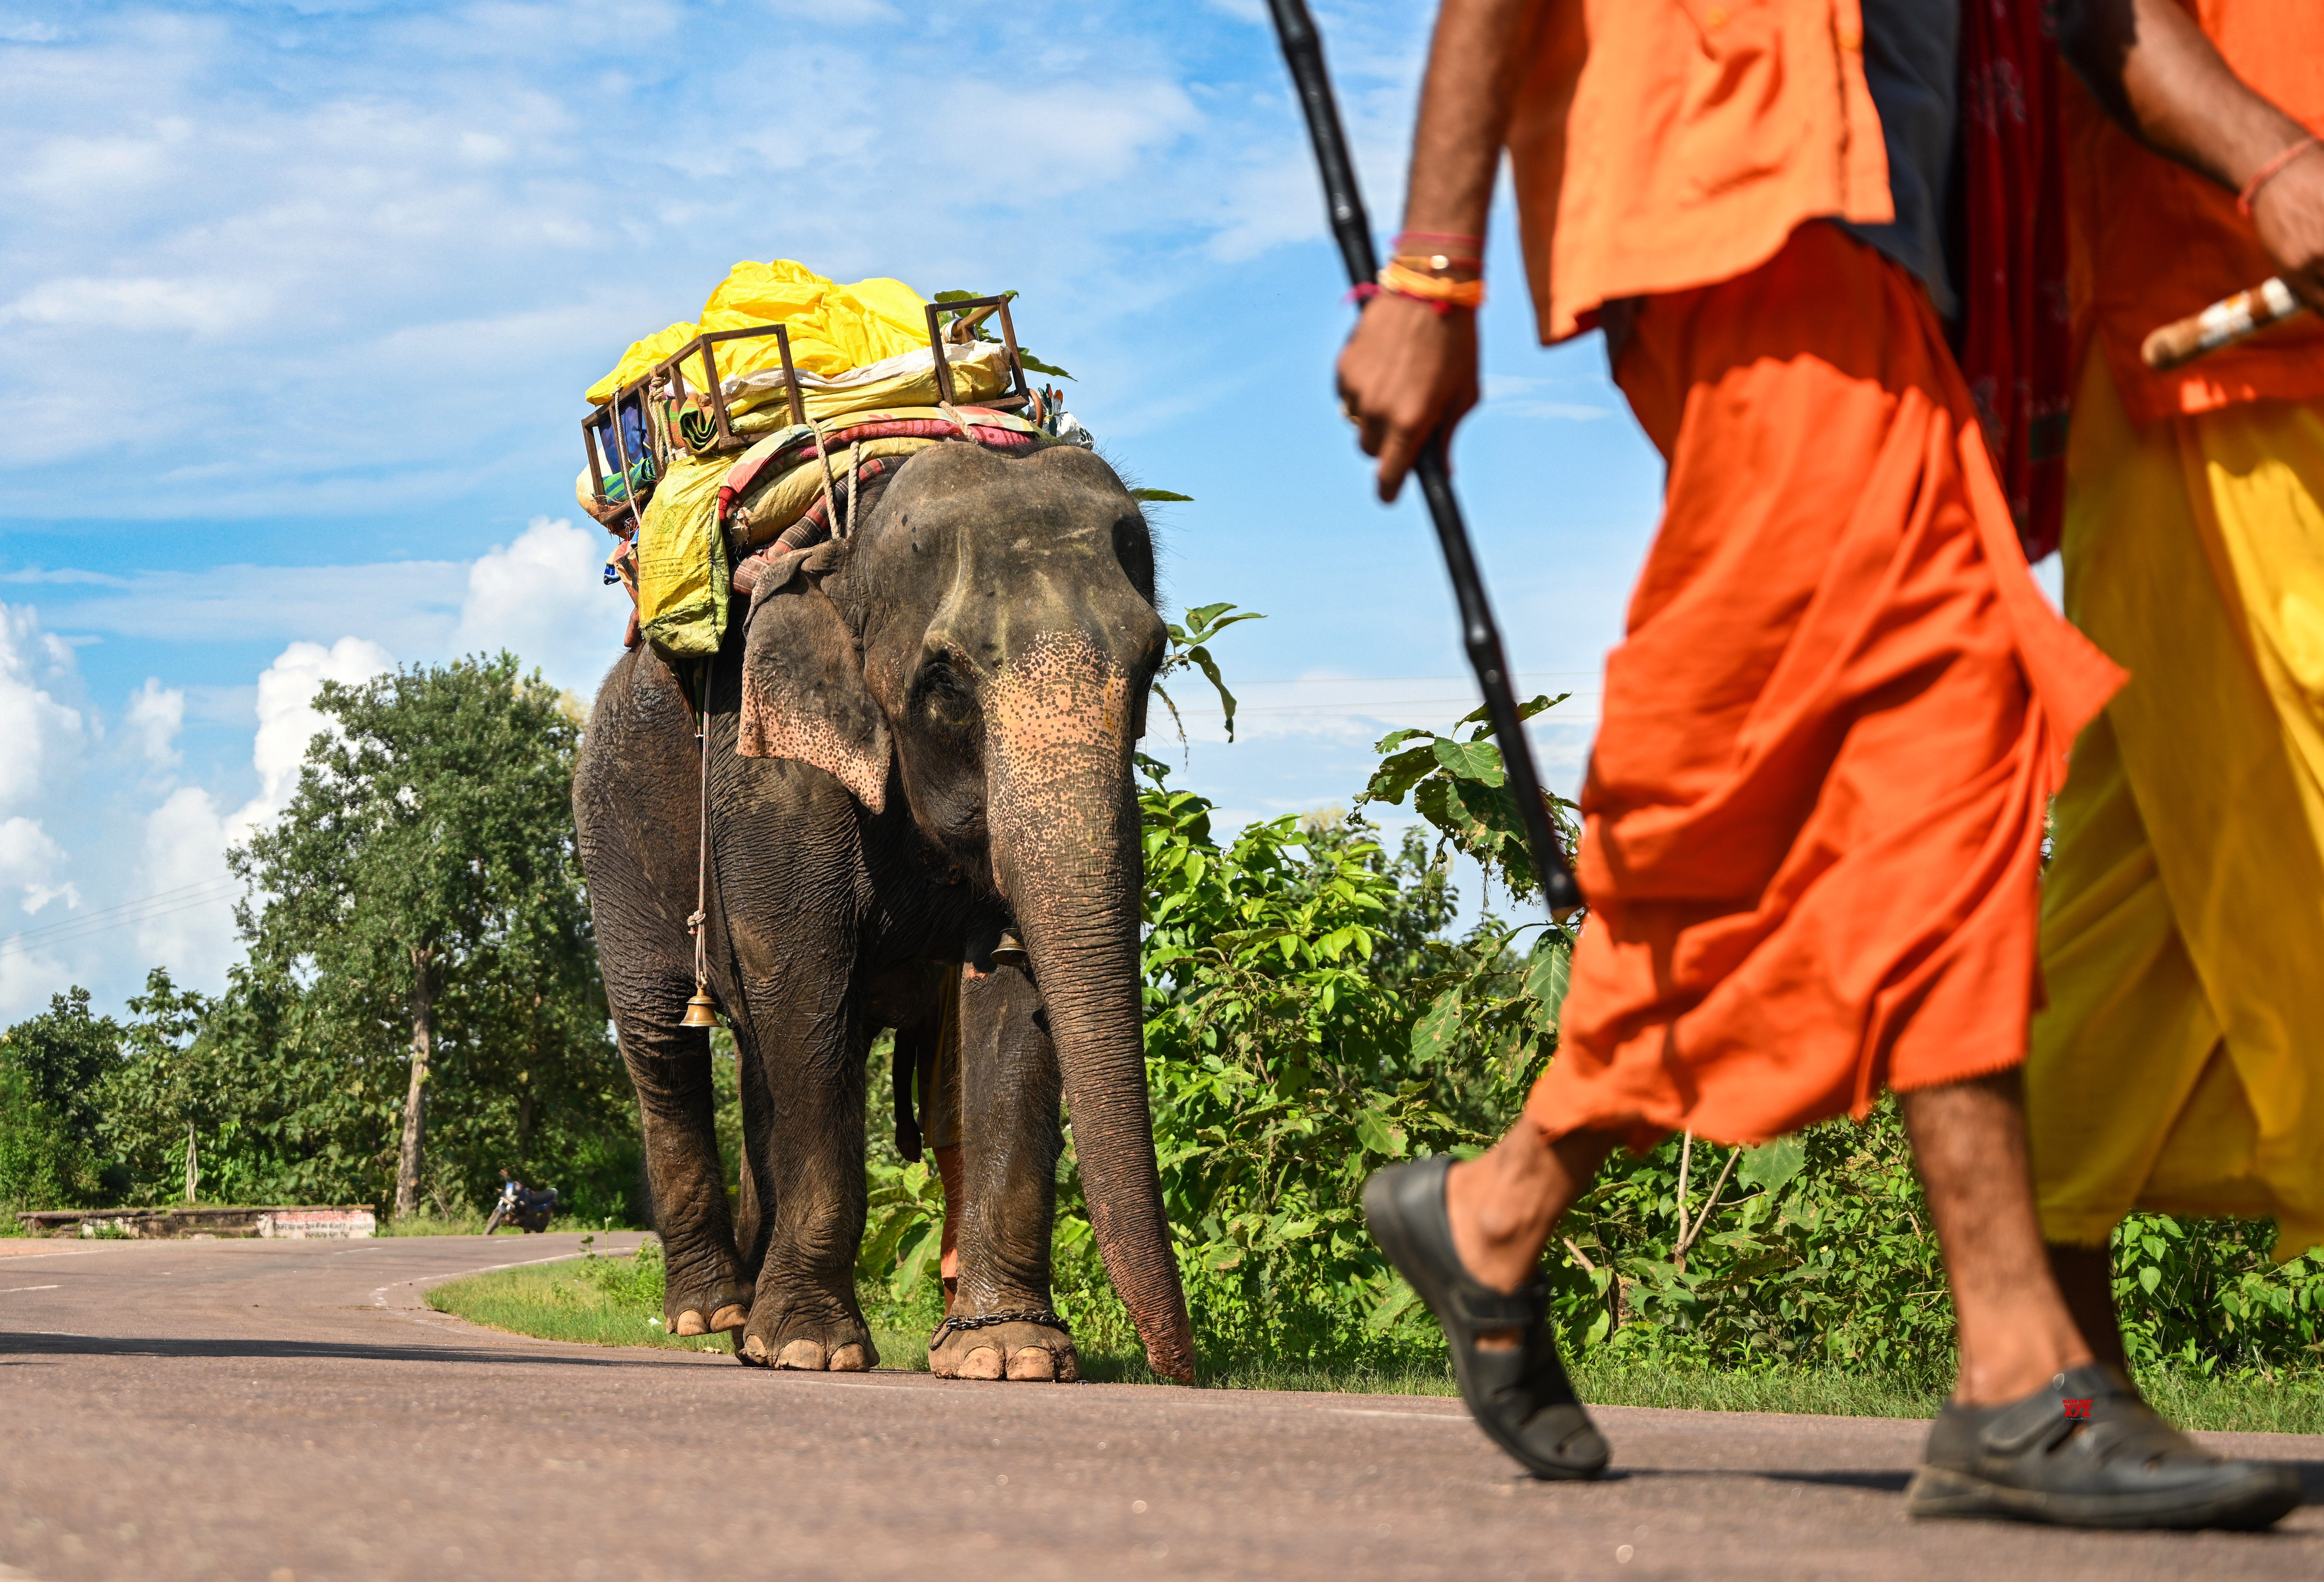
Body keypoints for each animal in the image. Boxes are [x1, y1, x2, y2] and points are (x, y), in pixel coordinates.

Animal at [573, 439, 1195, 1383]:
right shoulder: (773, 773)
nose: (1180, 1366)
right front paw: (811, 1349)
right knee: (662, 1039)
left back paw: (749, 1328)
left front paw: (1009, 1355)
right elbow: (804, 983)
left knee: (759, 1064)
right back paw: (712, 1314)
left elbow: (1008, 988)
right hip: (608, 824)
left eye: (1152, 663)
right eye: (944, 683)